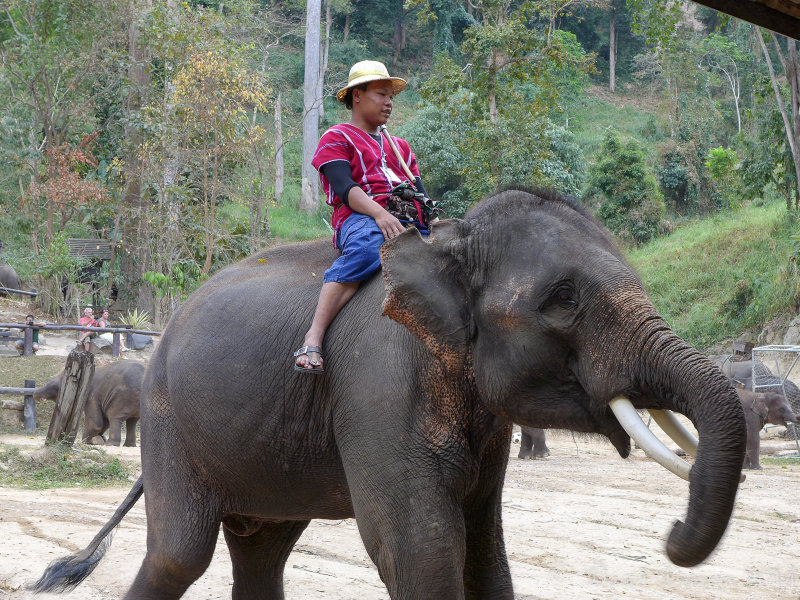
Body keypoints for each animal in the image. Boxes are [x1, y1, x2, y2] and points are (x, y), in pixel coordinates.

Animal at [31, 189, 744, 600]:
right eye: (563, 300)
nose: (672, 533)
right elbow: (420, 550)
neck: (448, 241)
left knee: (261, 551)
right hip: (171, 421)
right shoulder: (379, 382)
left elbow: (483, 551)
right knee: (179, 555)